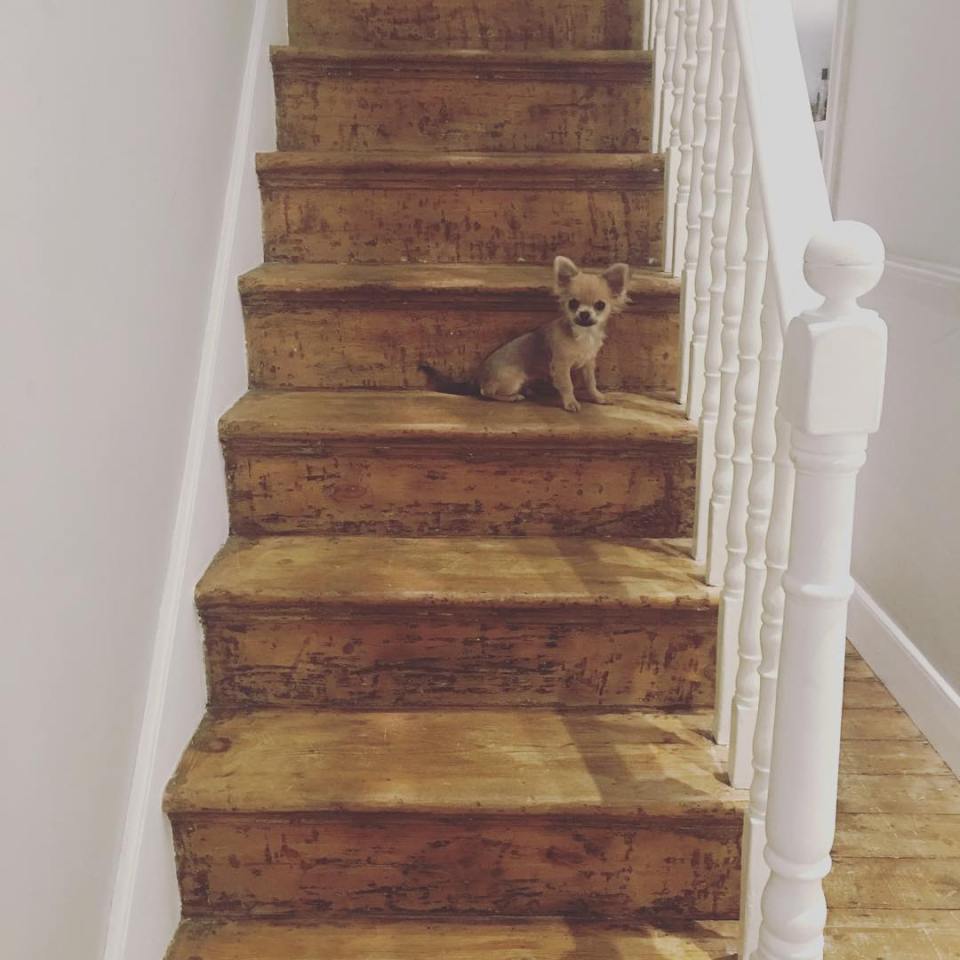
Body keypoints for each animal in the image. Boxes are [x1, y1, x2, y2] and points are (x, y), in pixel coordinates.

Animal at [420, 258, 632, 412]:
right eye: (573, 303)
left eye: (600, 305)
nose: (584, 314)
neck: (584, 335)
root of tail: (478, 376)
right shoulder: (560, 365)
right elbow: (567, 385)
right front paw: (570, 402)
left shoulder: (588, 363)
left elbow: (590, 382)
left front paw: (598, 397)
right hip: (512, 379)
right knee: (486, 392)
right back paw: (513, 396)